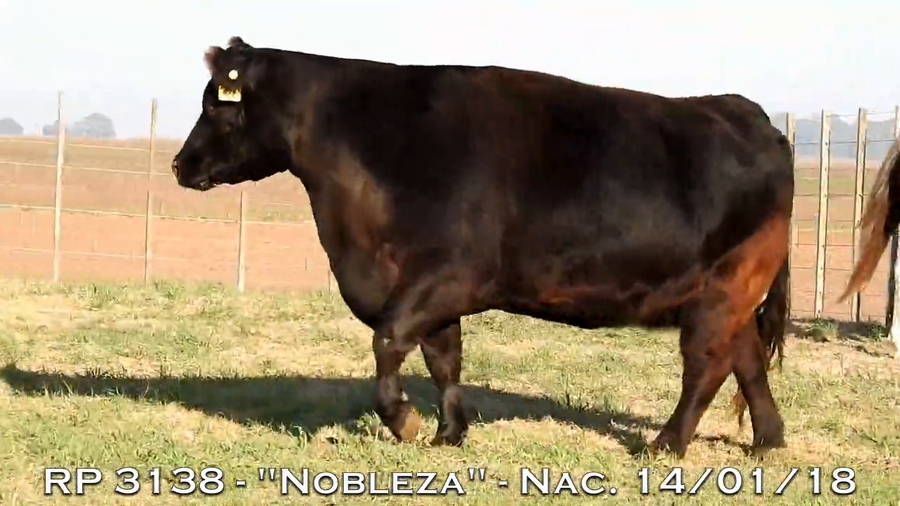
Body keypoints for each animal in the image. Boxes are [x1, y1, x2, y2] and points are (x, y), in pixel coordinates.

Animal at [171, 36, 795, 459]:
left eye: (217, 103)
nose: (179, 164)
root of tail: (744, 110)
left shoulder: (444, 274)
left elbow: (389, 340)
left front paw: (404, 422)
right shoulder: (426, 289)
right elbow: (443, 358)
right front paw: (450, 432)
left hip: (724, 286)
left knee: (706, 366)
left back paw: (666, 443)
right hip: (732, 295)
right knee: (745, 358)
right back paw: (767, 440)